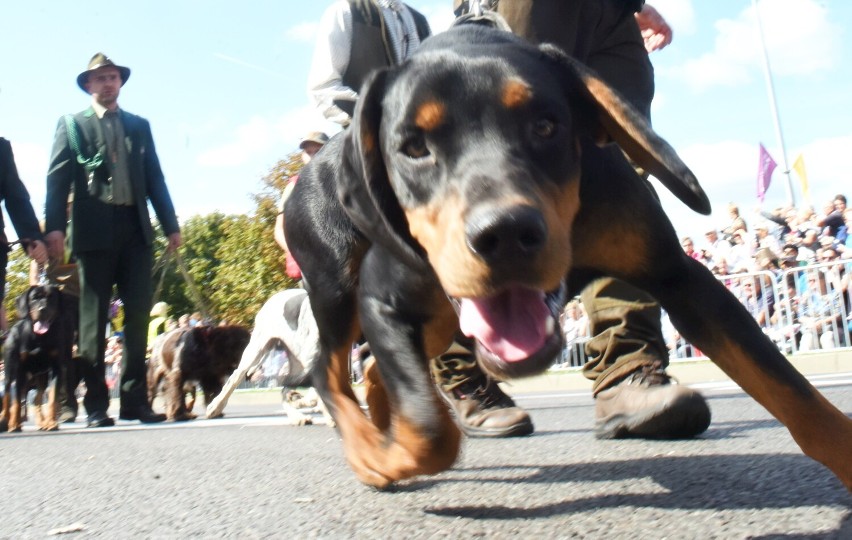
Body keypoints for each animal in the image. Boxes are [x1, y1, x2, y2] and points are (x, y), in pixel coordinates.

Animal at [0, 284, 70, 432]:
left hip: (41, 376)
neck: (40, 338)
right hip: (10, 370)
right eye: (34, 298)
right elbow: (16, 401)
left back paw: (42, 422)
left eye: (51, 297)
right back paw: (5, 420)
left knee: (38, 398)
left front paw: (51, 423)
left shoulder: (56, 368)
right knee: (8, 394)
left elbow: (52, 398)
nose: (42, 309)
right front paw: (14, 425)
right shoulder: (19, 369)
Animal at [206, 288, 332, 424]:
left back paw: (297, 414)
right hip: (257, 350)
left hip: (297, 365)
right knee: (235, 377)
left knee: (286, 390)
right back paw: (215, 407)